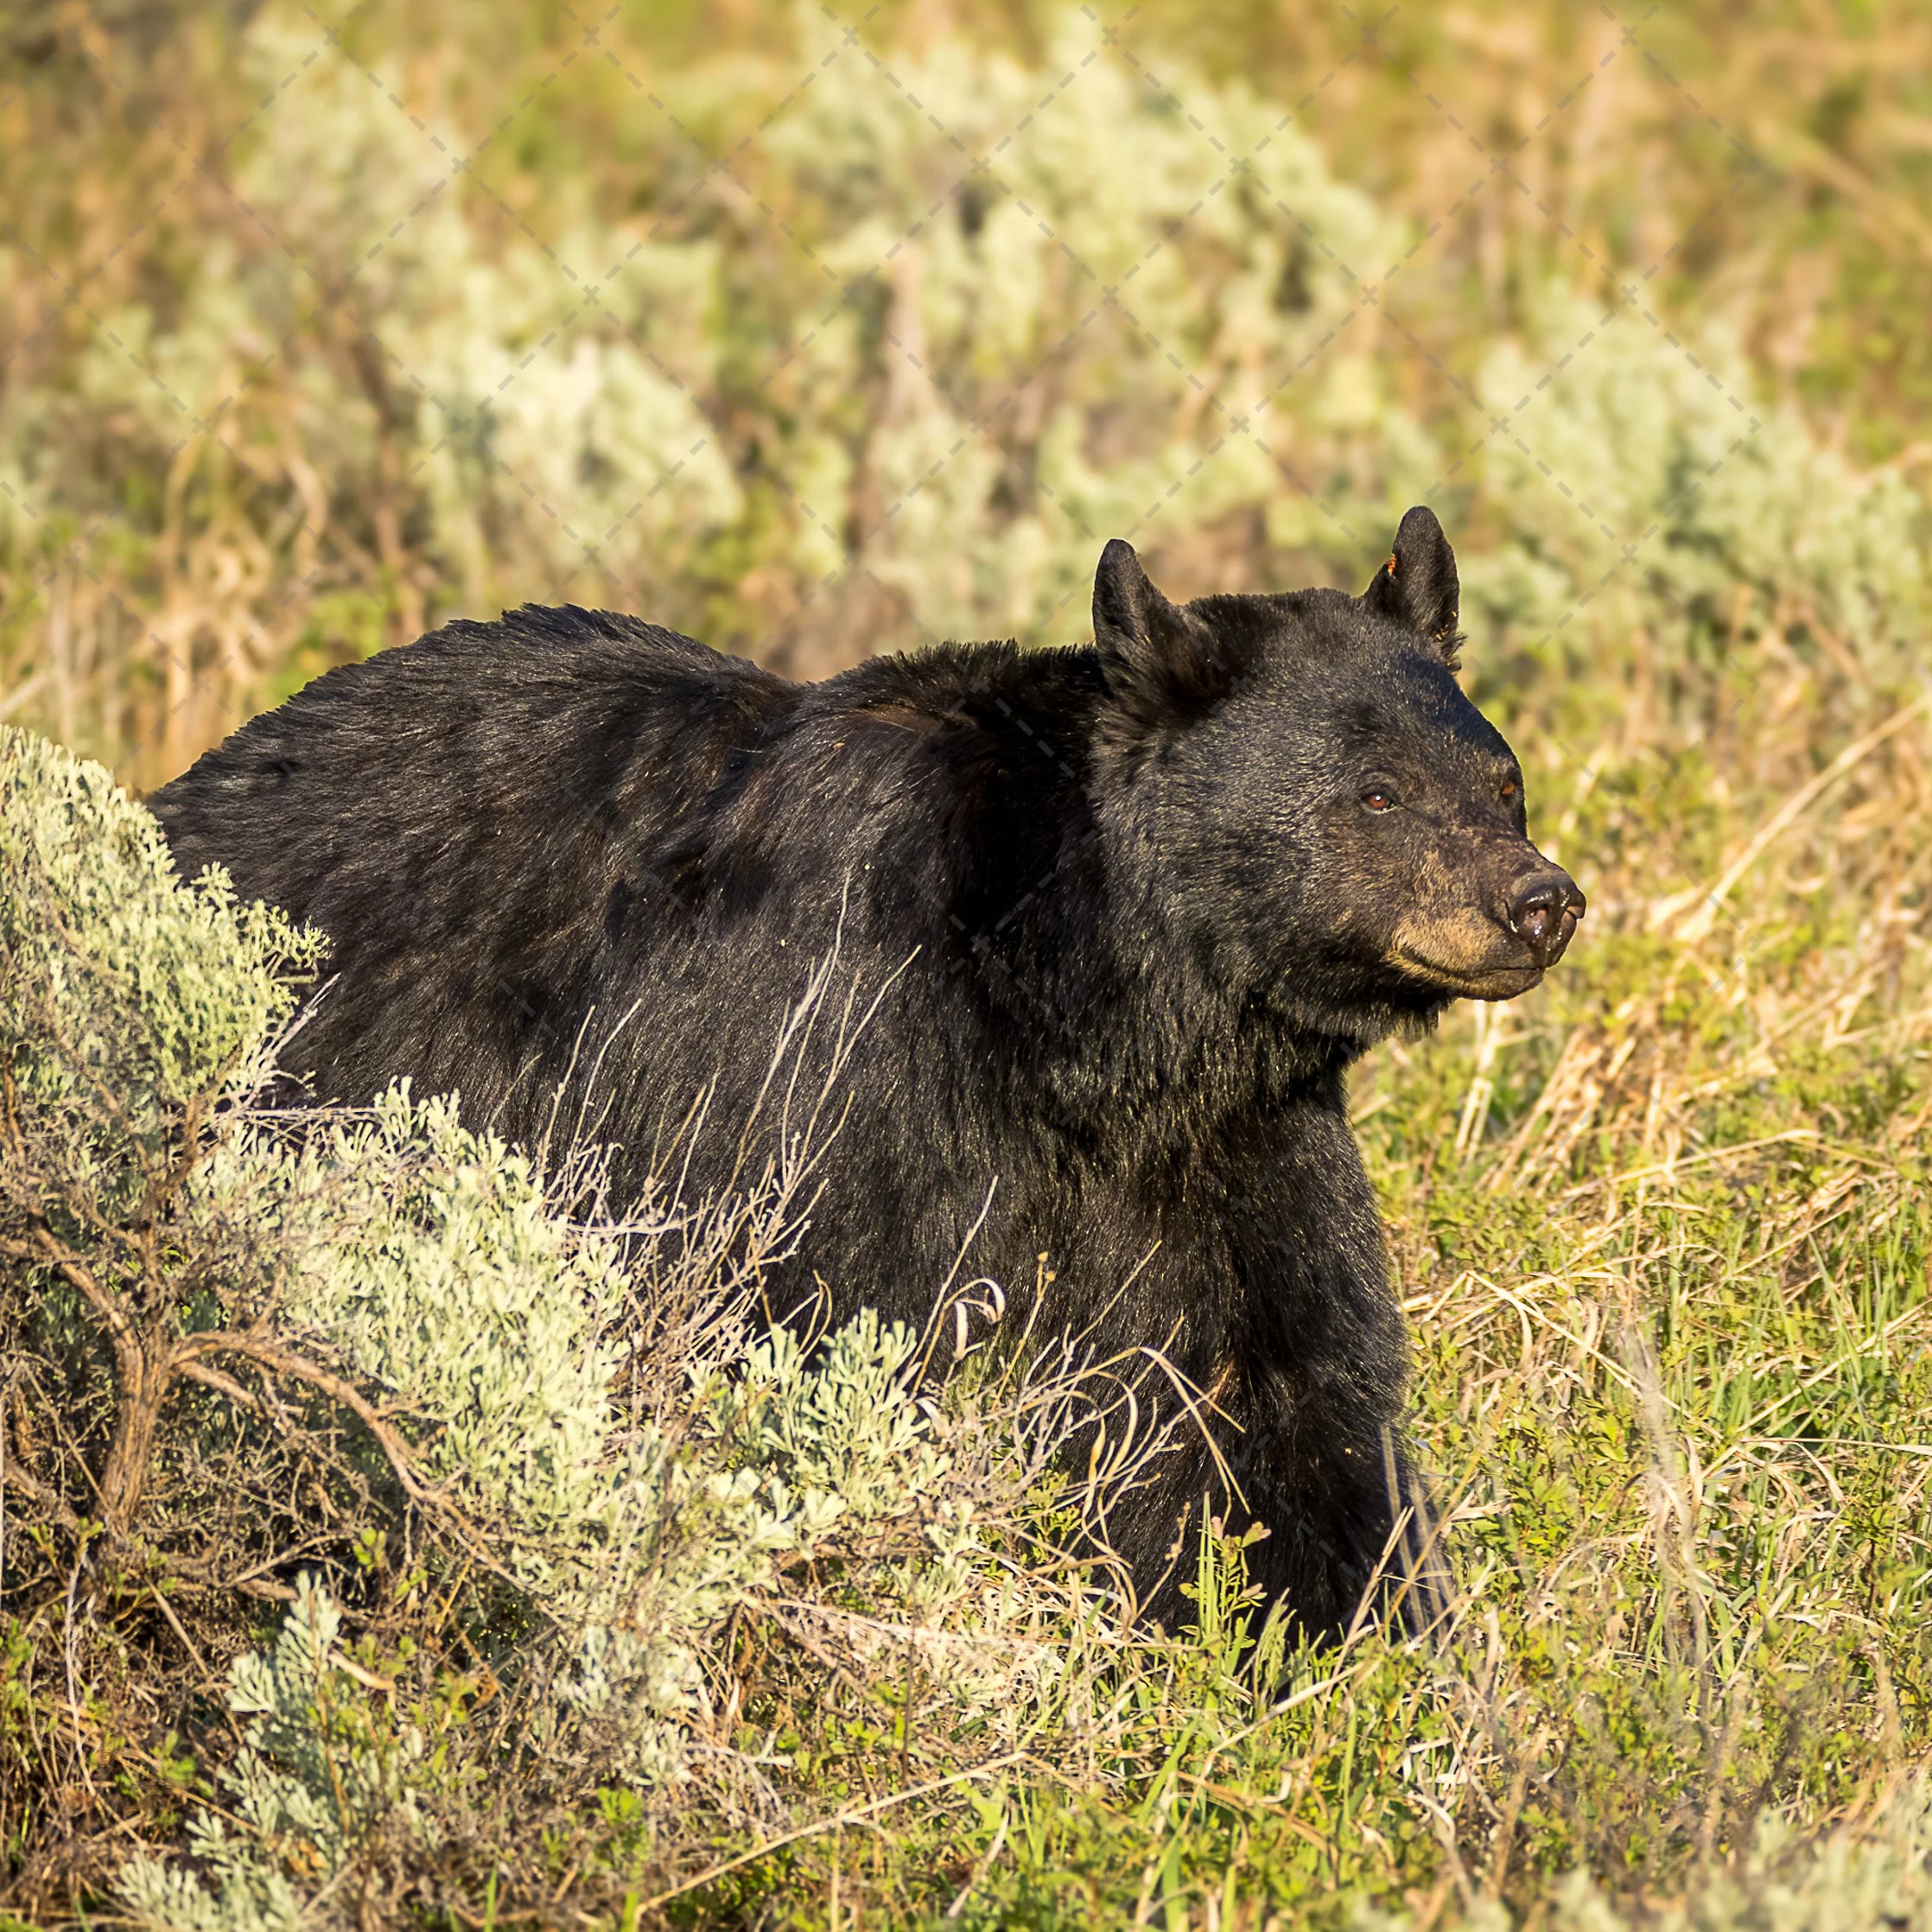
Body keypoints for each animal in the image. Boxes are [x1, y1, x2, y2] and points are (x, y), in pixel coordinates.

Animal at [150, 505, 1583, 1638]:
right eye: (1377, 795)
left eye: (1502, 777)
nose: (1540, 903)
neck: (1078, 1020)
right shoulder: (827, 1067)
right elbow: (821, 1327)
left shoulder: (1233, 1141)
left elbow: (1280, 1390)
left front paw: (1361, 1656)